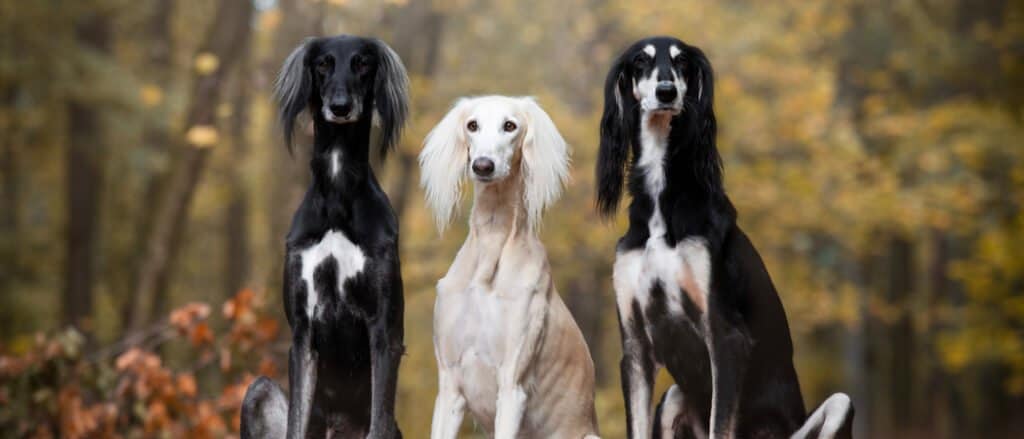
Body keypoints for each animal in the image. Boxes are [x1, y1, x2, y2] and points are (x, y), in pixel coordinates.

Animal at [241, 35, 409, 437]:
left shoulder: (385, 332)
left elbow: (378, 420)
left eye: (363, 63)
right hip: (258, 390)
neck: (337, 196)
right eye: (322, 64)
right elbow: (296, 424)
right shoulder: (302, 333)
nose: (340, 107)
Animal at [419, 96, 598, 437]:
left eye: (510, 125)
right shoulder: (449, 385)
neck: (492, 244)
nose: (483, 165)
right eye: (472, 125)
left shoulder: (512, 385)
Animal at [598, 35, 851, 435]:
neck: (662, 206)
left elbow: (721, 423)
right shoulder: (635, 347)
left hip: (833, 407)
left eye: (682, 62)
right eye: (640, 61)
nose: (667, 92)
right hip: (672, 398)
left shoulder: (725, 337)